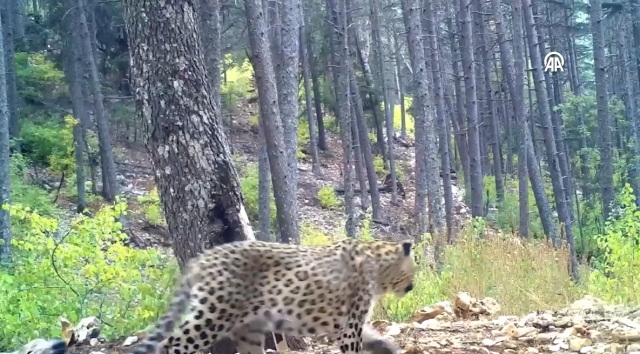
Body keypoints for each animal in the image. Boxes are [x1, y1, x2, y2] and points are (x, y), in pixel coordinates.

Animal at [134, 236, 416, 354]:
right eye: (413, 268)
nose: (412, 287)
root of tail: (201, 258)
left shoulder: (350, 325)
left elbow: (377, 340)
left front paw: (391, 350)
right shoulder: (350, 326)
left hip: (249, 330)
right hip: (213, 316)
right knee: (170, 343)